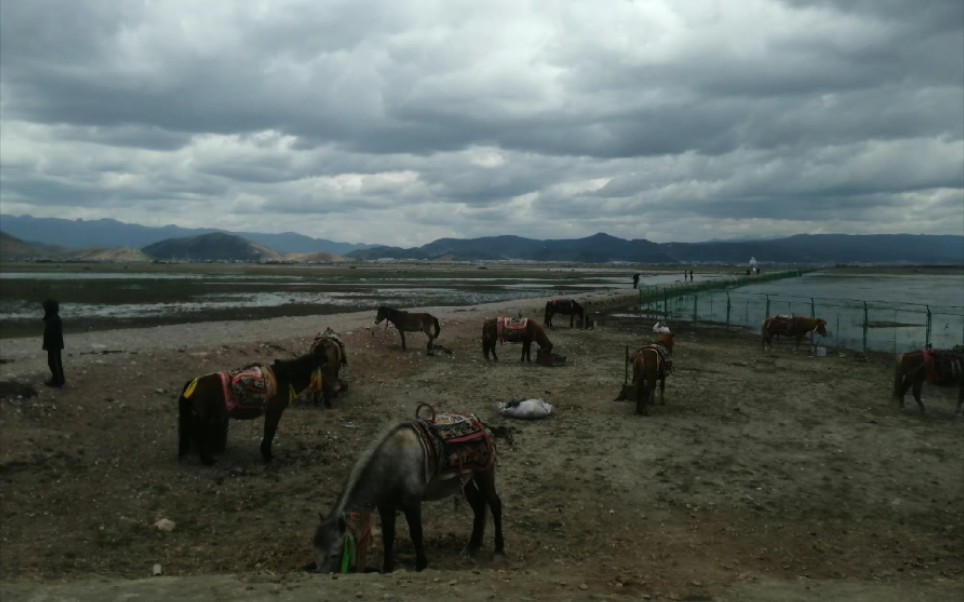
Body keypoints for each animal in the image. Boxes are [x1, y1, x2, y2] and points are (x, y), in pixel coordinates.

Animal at [181, 352, 328, 464]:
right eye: (326, 365)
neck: (285, 378)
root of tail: (194, 382)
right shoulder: (275, 411)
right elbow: (270, 432)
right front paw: (268, 456)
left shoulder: (270, 412)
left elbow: (268, 431)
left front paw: (265, 453)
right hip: (206, 418)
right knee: (200, 436)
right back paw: (207, 461)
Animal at [308, 404, 504, 572]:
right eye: (317, 552)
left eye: (334, 554)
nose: (323, 573)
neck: (392, 466)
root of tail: (481, 424)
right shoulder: (385, 507)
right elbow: (388, 536)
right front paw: (387, 568)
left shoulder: (412, 504)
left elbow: (416, 533)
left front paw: (421, 564)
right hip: (466, 480)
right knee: (479, 505)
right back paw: (472, 547)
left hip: (484, 474)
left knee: (494, 503)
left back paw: (499, 550)